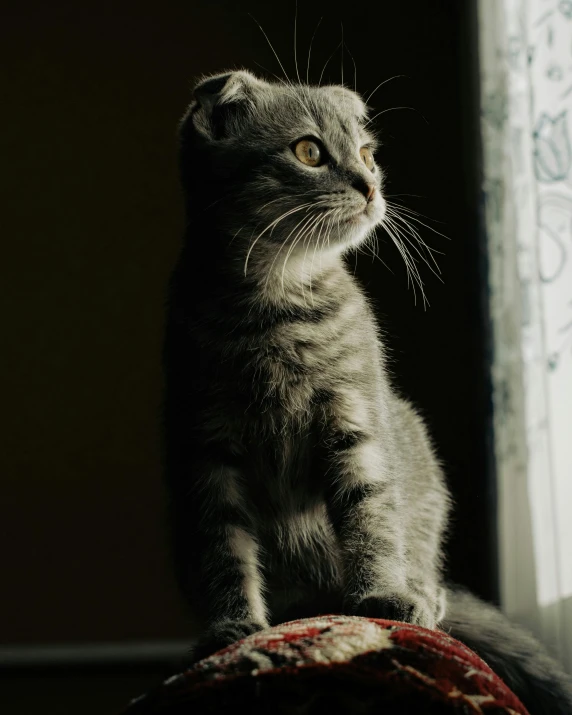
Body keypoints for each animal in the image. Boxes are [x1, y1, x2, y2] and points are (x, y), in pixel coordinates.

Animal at [162, 68, 572, 715]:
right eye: (309, 151)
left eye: (366, 153)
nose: (371, 183)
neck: (276, 305)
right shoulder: (207, 446)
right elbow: (223, 544)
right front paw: (233, 627)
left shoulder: (354, 419)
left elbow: (371, 512)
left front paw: (382, 595)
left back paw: (422, 593)